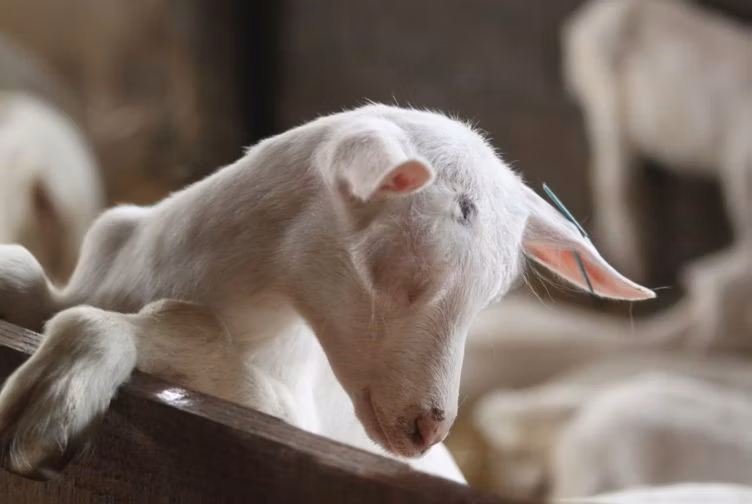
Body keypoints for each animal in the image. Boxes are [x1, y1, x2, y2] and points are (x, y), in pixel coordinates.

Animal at [0, 104, 652, 482]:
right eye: (396, 268)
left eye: (488, 303)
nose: (429, 428)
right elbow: (22, 270)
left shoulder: (283, 413)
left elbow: (188, 326)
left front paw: (56, 395)